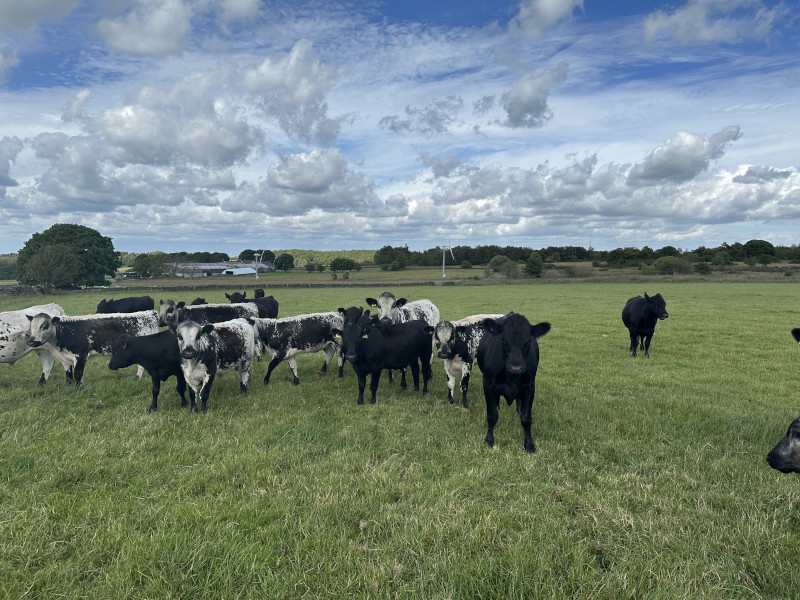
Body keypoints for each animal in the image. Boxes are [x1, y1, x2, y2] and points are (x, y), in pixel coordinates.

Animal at [476, 312, 552, 452]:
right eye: (504, 341)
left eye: (528, 342)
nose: (515, 368)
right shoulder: (487, 384)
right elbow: (492, 415)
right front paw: (489, 440)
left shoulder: (530, 387)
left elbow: (526, 419)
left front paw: (529, 444)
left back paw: (518, 411)